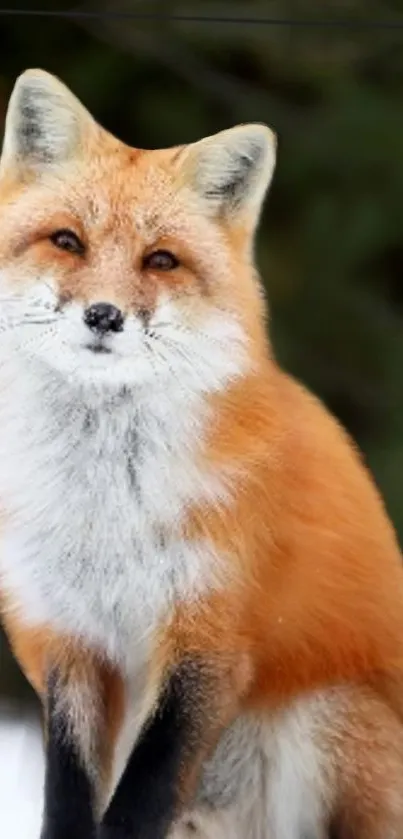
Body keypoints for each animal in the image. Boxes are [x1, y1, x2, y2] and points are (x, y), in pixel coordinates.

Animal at [0, 67, 403, 839]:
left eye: (161, 259)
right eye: (67, 240)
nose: (104, 315)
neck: (104, 508)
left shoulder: (209, 637)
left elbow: (141, 798)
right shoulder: (67, 637)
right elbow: (69, 798)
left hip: (325, 718)